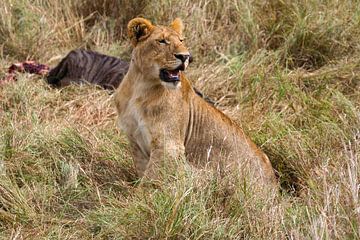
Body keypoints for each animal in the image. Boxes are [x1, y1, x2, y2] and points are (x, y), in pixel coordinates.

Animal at [114, 17, 278, 186]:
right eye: (162, 41)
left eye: (181, 40)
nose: (186, 57)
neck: (141, 87)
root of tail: (275, 186)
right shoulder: (136, 143)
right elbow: (143, 174)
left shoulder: (168, 146)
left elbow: (150, 181)